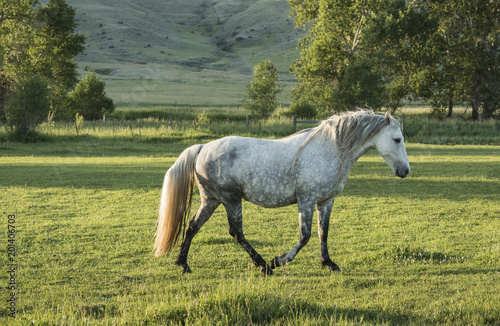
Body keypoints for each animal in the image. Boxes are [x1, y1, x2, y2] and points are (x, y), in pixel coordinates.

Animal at [154, 110, 408, 276]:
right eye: (397, 139)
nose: (405, 171)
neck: (330, 150)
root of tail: (203, 148)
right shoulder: (306, 200)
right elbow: (305, 236)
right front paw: (279, 260)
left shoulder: (326, 201)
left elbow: (323, 233)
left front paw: (328, 263)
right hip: (230, 200)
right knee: (236, 232)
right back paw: (264, 266)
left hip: (211, 200)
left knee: (192, 226)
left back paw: (183, 265)